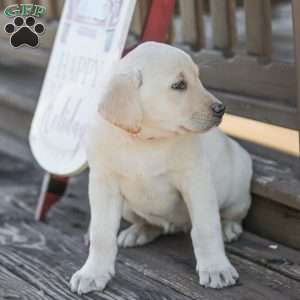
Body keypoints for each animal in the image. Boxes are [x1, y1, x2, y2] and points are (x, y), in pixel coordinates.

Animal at [71, 41, 253, 294]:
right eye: (179, 85)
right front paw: (93, 272)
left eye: (198, 78)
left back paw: (229, 227)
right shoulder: (103, 184)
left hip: (237, 184)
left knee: (233, 213)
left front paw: (216, 268)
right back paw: (138, 231)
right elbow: (101, 233)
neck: (145, 140)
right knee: (151, 223)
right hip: (127, 207)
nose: (221, 108)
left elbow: (206, 228)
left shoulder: (196, 180)